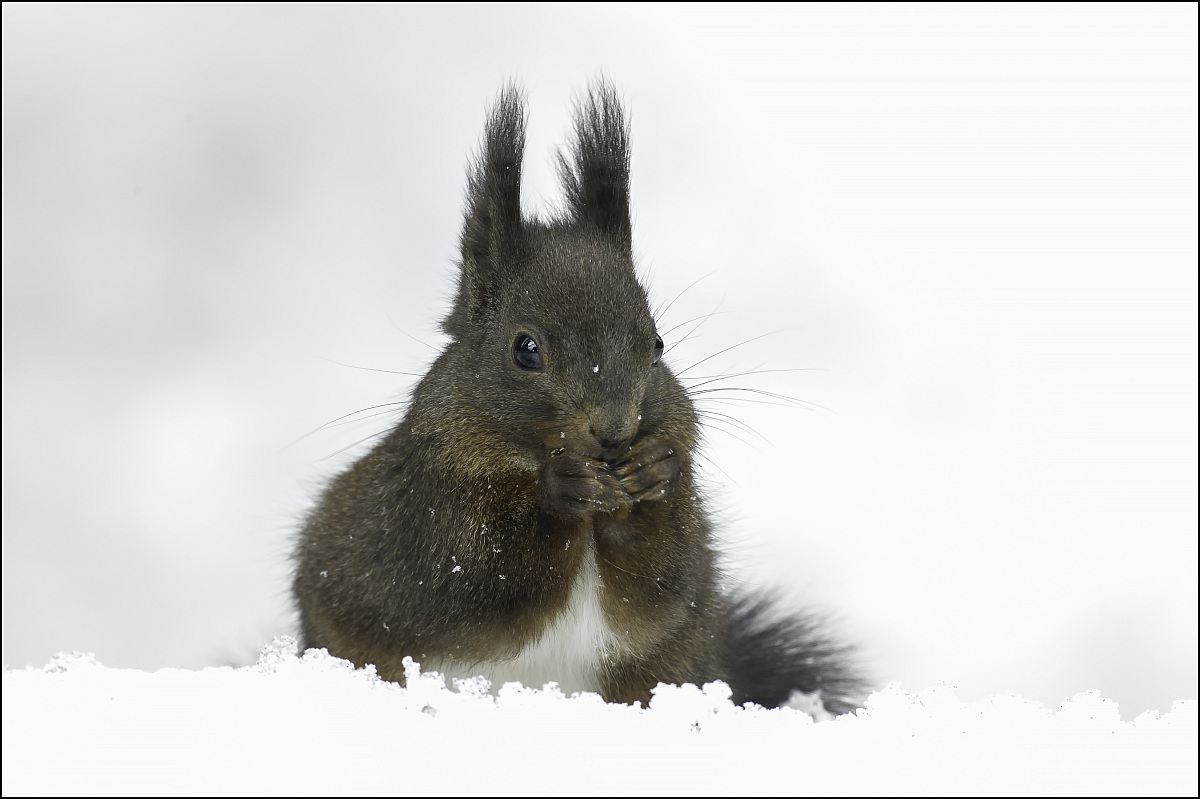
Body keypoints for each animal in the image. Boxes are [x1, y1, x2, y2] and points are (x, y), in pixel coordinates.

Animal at [292, 79, 862, 713]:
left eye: (657, 344)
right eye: (525, 349)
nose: (616, 433)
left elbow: (664, 582)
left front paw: (655, 470)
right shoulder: (428, 507)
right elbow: (475, 571)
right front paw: (561, 487)